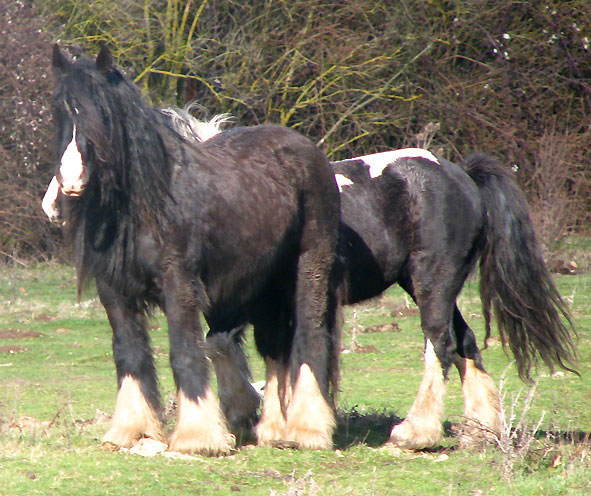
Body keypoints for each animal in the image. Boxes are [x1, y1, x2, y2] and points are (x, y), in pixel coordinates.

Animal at [51, 46, 342, 454]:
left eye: (102, 111)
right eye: (60, 110)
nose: (71, 180)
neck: (146, 202)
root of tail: (308, 151)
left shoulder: (180, 285)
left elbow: (185, 353)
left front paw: (197, 437)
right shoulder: (116, 293)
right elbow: (130, 354)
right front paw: (130, 429)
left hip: (310, 266)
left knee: (309, 339)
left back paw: (308, 429)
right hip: (265, 286)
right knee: (275, 350)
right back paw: (273, 429)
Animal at [209, 151, 580, 450]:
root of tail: (459, 173)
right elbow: (243, 348)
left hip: (434, 280)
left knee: (440, 342)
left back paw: (415, 433)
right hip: (420, 284)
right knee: (465, 342)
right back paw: (480, 431)